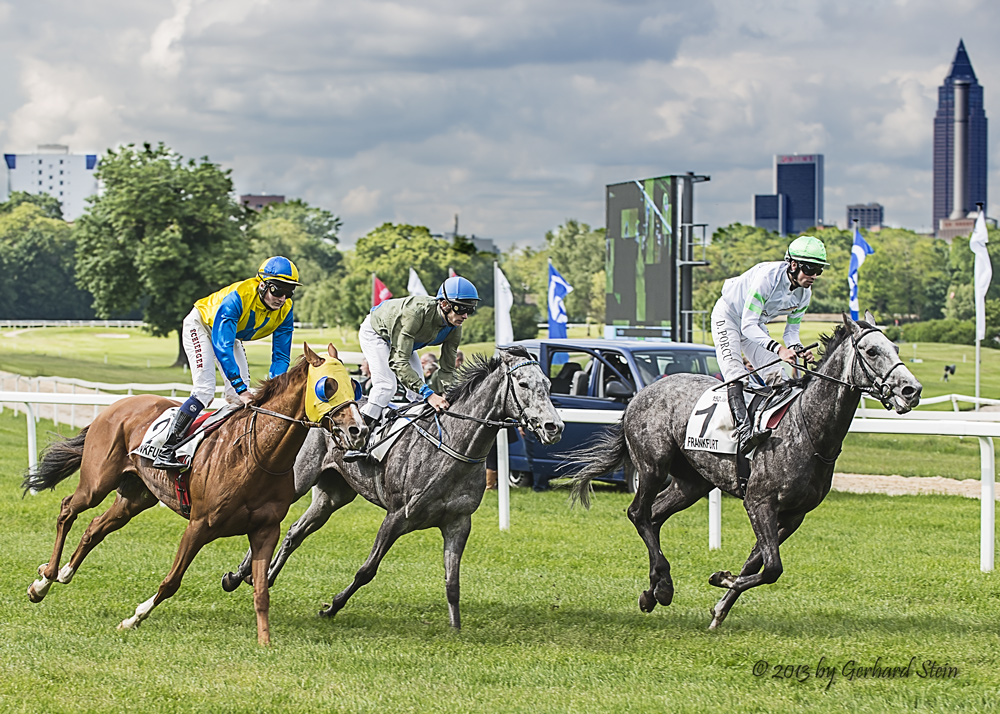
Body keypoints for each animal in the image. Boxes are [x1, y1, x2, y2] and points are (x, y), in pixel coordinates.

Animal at [23, 342, 366, 644]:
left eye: (355, 387)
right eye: (327, 386)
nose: (358, 430)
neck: (256, 455)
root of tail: (117, 405)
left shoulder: (265, 530)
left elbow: (261, 591)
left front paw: (265, 642)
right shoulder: (200, 525)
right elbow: (172, 581)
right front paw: (134, 618)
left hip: (135, 497)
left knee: (95, 527)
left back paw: (63, 574)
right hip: (97, 482)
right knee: (68, 509)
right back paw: (43, 581)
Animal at [223, 344, 564, 624]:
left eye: (548, 385)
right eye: (523, 384)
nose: (554, 427)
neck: (452, 445)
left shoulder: (458, 522)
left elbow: (452, 582)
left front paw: (456, 628)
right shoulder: (397, 516)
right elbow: (367, 570)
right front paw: (332, 607)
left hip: (333, 495)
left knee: (295, 532)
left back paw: (262, 577)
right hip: (297, 480)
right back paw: (238, 575)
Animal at [572, 314, 920, 624]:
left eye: (896, 348)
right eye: (872, 351)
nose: (911, 390)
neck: (808, 429)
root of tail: (639, 395)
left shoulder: (793, 515)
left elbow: (758, 562)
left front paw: (720, 608)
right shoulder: (759, 501)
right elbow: (772, 567)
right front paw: (721, 579)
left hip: (692, 483)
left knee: (655, 516)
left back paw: (654, 590)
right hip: (653, 466)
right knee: (638, 513)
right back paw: (663, 585)